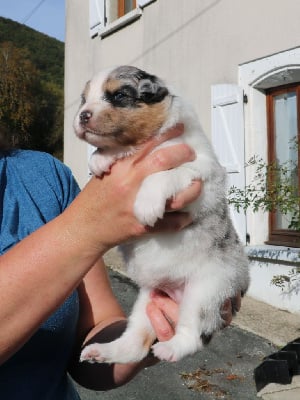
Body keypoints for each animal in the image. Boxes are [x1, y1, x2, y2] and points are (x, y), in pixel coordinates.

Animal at [74, 65, 250, 362]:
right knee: (134, 344)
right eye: (84, 99)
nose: (82, 115)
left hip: (205, 291)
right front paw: (100, 158)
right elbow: (113, 150)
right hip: (148, 300)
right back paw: (103, 351)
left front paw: (146, 205)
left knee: (192, 336)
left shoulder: (198, 172)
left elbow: (163, 175)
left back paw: (170, 348)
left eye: (119, 95)